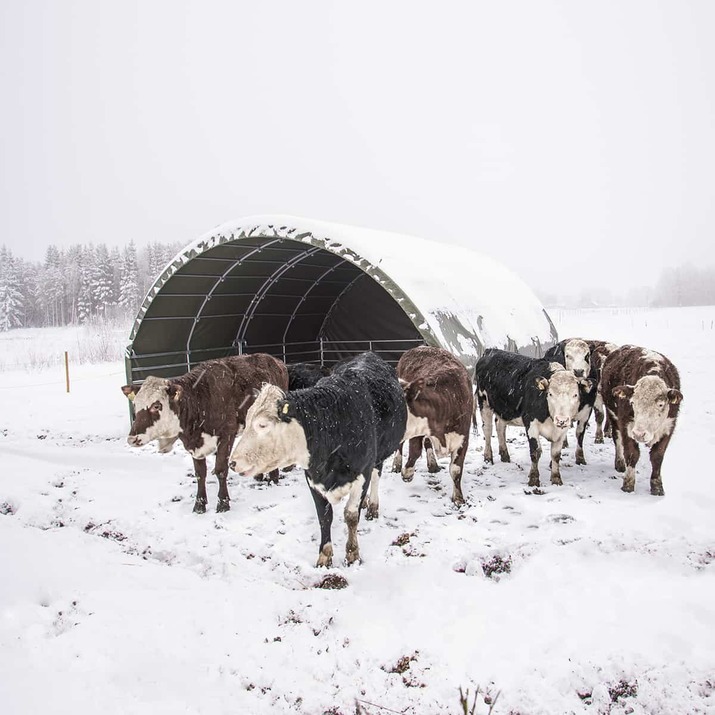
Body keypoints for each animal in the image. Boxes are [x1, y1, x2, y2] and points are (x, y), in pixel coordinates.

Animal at [121, 354, 290, 512]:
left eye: (156, 406)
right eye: (135, 404)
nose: (132, 438)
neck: (199, 400)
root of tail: (275, 360)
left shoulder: (227, 435)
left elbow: (221, 470)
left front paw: (223, 503)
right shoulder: (194, 444)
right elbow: (200, 474)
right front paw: (199, 505)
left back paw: (273, 478)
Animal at [229, 352, 408, 564]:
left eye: (262, 425)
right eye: (246, 421)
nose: (232, 462)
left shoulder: (362, 471)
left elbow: (351, 515)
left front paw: (352, 552)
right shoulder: (312, 478)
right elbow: (324, 517)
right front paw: (325, 555)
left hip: (378, 455)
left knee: (376, 476)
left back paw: (372, 505)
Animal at [392, 346, 476, 504]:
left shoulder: (463, 438)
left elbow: (456, 469)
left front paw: (458, 498)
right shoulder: (417, 431)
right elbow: (414, 452)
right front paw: (407, 473)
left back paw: (432, 464)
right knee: (402, 445)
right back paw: (397, 464)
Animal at [476, 350, 592, 490]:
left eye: (575, 395)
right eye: (550, 394)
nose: (561, 419)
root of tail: (491, 350)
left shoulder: (562, 430)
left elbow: (556, 454)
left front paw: (556, 479)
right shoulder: (531, 423)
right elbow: (536, 452)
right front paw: (534, 479)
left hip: (503, 410)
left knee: (500, 428)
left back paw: (505, 455)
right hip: (484, 402)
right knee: (487, 430)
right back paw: (488, 457)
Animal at [600, 344, 684, 496]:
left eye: (660, 404)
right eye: (633, 403)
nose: (639, 434)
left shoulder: (669, 426)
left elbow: (657, 456)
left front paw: (657, 487)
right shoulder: (626, 424)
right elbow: (632, 454)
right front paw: (628, 484)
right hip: (613, 416)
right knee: (617, 439)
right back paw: (620, 463)